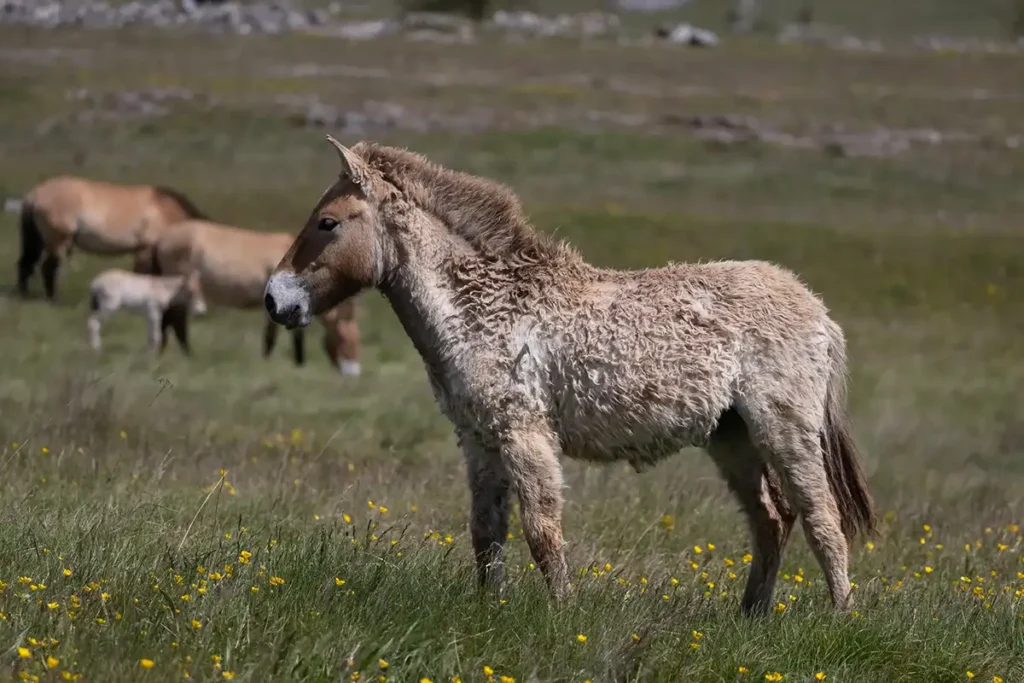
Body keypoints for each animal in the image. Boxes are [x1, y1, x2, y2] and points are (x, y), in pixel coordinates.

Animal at [16, 175, 207, 300]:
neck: (166, 210)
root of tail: (36, 193)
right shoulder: (145, 249)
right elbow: (142, 276)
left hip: (40, 242)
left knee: (26, 264)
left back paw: (24, 293)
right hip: (58, 241)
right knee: (48, 268)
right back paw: (54, 299)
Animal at [152, 218, 361, 375]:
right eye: (345, 340)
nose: (353, 374)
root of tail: (161, 239)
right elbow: (274, 337)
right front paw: (275, 364)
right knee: (176, 322)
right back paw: (187, 355)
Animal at [263, 136, 878, 615]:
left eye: (327, 223)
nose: (273, 299)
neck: (484, 308)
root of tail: (818, 310)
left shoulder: (524, 435)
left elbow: (542, 531)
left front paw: (561, 616)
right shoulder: (479, 440)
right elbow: (487, 533)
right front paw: (488, 613)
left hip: (784, 430)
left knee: (821, 518)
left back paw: (839, 619)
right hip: (732, 437)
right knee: (772, 521)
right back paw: (749, 618)